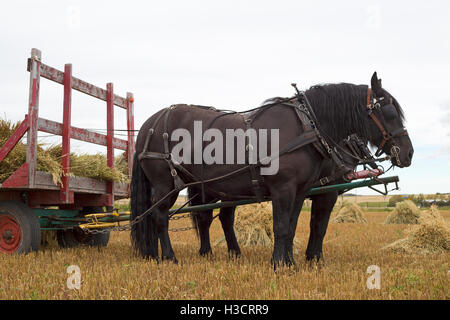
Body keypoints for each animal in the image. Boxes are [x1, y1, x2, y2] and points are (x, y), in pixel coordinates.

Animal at [128, 72, 414, 268]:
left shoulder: (301, 191)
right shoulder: (286, 189)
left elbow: (295, 225)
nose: (408, 153)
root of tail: (148, 124)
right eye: (389, 112)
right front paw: (280, 263)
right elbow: (285, 226)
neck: (306, 127)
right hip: (166, 183)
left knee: (207, 217)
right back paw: (169, 256)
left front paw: (292, 261)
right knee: (161, 216)